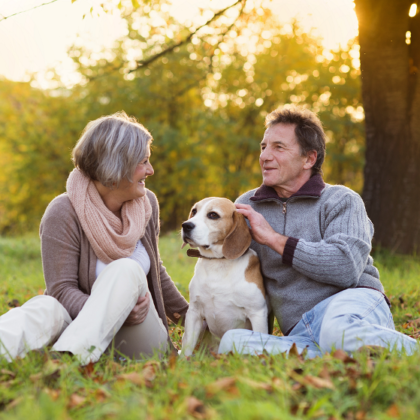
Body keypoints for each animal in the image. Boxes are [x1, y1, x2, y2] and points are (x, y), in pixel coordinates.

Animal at [179, 199, 268, 356]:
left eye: (213, 215)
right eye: (194, 211)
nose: (186, 225)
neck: (218, 263)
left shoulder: (257, 313)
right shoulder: (194, 312)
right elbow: (187, 344)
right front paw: (183, 361)